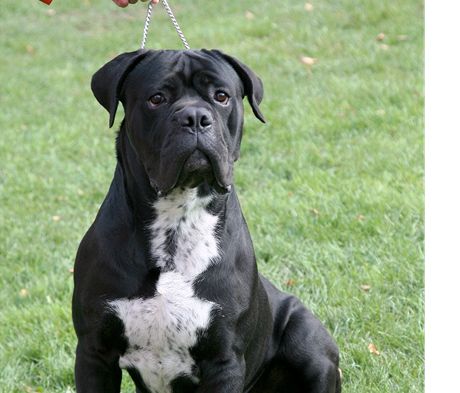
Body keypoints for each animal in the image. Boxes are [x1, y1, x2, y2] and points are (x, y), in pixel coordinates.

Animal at [73, 49, 342, 392]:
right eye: (156, 98)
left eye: (222, 96)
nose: (195, 117)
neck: (177, 222)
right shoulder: (94, 352)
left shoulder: (223, 360)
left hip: (308, 341)